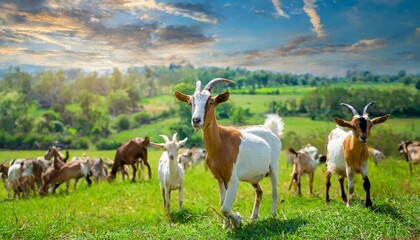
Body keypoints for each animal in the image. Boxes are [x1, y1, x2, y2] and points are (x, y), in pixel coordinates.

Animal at [174, 79, 282, 229]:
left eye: (211, 102)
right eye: (190, 102)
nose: (196, 120)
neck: (220, 144)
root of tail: (271, 130)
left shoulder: (232, 179)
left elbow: (225, 208)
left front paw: (237, 220)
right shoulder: (220, 179)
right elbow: (222, 203)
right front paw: (226, 226)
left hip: (274, 168)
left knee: (275, 192)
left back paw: (273, 216)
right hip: (253, 176)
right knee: (259, 191)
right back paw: (253, 217)